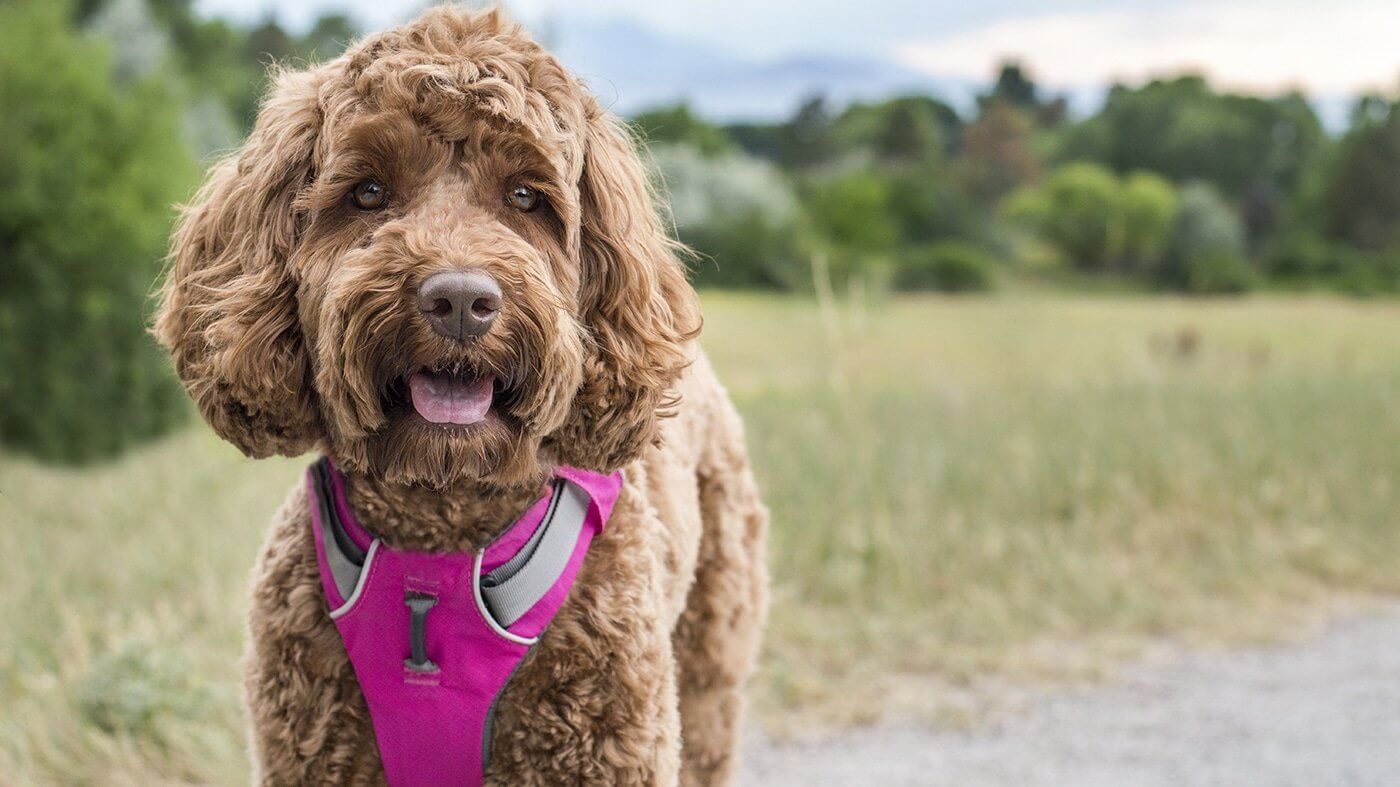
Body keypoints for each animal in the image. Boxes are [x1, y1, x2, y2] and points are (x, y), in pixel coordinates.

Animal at [156, 7, 767, 784]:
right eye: (368, 192)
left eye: (526, 196)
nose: (459, 302)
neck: (440, 530)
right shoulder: (313, 747)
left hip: (711, 664)